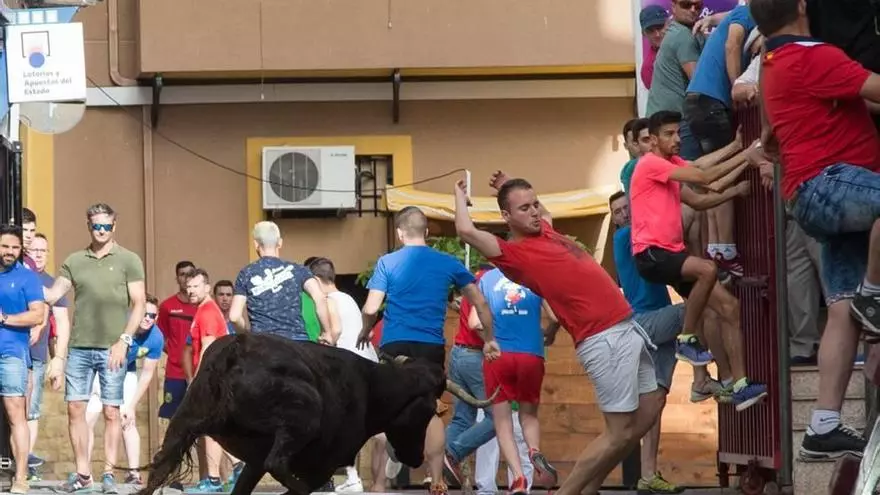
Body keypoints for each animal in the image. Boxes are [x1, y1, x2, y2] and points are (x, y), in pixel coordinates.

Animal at [137, 333, 496, 495]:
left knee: (156, 472)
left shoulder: (252, 462)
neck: (371, 386)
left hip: (181, 423)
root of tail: (235, 350)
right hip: (301, 419)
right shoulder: (322, 463)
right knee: (280, 465)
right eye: (427, 412)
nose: (416, 457)